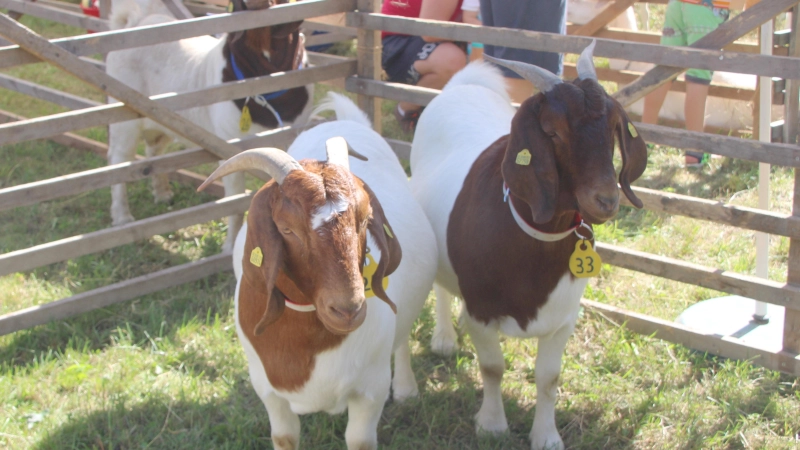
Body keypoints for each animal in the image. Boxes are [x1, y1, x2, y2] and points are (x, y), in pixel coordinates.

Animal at [106, 0, 311, 249]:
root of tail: (135, 21)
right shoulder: (232, 150)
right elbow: (235, 202)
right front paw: (231, 245)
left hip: (161, 119)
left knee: (154, 152)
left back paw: (162, 193)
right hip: (124, 117)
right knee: (119, 162)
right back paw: (122, 217)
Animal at [198, 93, 437, 450]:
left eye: (365, 219)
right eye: (287, 229)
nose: (348, 309)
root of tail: (349, 119)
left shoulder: (371, 389)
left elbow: (359, 440)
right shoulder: (268, 391)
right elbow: (284, 436)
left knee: (403, 334)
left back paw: (407, 389)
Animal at [409, 42, 648, 449]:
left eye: (614, 126)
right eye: (552, 131)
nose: (605, 200)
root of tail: (463, 85)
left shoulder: (564, 318)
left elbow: (548, 378)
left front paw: (546, 435)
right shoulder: (482, 311)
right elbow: (492, 367)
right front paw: (492, 424)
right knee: (441, 287)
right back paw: (443, 338)